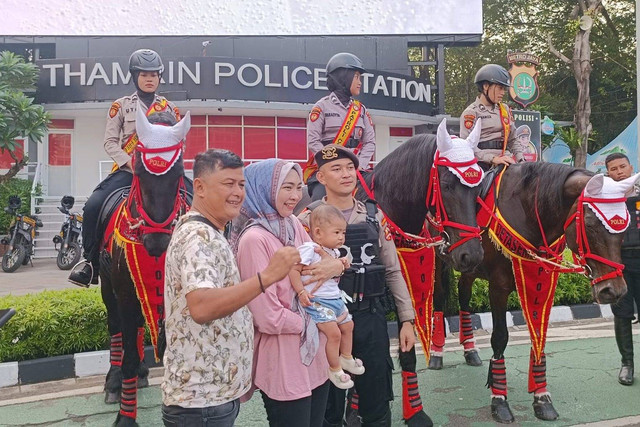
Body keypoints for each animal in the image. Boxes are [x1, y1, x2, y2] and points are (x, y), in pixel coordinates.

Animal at [98, 104, 190, 427]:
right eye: (138, 169)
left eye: (178, 172)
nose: (156, 242)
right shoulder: (124, 293)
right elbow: (124, 351)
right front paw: (126, 417)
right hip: (107, 286)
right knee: (116, 327)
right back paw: (114, 382)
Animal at [428, 164, 632, 424]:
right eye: (590, 224)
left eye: (624, 229)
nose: (614, 290)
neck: (527, 213)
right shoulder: (498, 287)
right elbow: (500, 337)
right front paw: (499, 401)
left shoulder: (543, 281)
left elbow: (539, 338)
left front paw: (542, 398)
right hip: (438, 257)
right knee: (439, 297)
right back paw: (436, 353)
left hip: (468, 266)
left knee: (464, 295)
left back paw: (471, 350)